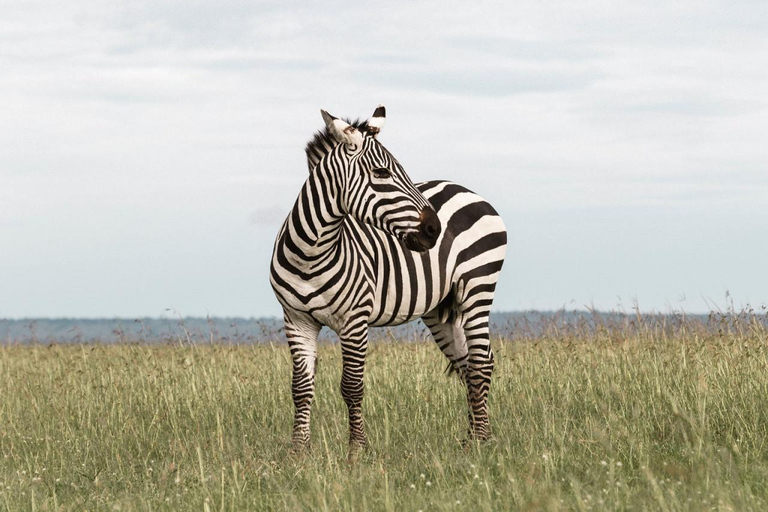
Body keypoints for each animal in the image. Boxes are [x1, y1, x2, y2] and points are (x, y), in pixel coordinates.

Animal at [272, 106, 510, 450]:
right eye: (382, 173)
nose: (434, 230)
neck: (310, 255)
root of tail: (465, 190)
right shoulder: (297, 320)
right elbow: (301, 389)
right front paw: (299, 451)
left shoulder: (355, 320)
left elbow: (352, 386)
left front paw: (357, 450)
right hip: (439, 307)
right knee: (466, 363)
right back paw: (472, 439)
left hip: (478, 287)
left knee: (481, 364)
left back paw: (481, 441)